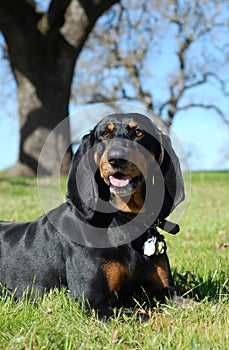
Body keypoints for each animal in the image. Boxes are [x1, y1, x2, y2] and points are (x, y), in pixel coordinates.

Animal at [0, 113, 184, 318]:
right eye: (104, 133)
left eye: (138, 132)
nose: (116, 159)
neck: (122, 219)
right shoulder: (94, 302)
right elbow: (147, 316)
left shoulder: (167, 290)